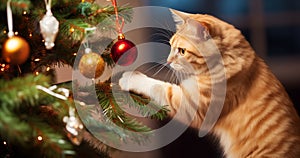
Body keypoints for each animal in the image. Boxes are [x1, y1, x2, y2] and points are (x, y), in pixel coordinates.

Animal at [118, 9, 298, 157]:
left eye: (182, 51)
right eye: (170, 46)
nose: (168, 61)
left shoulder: (191, 103)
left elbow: (158, 86)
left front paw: (130, 77)